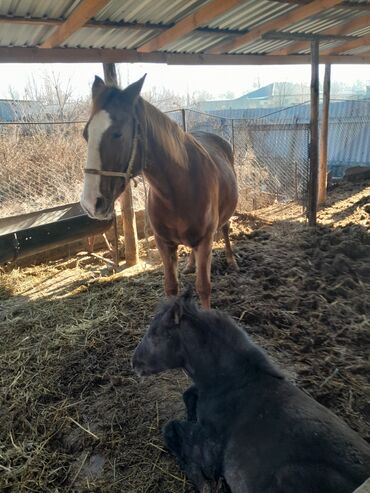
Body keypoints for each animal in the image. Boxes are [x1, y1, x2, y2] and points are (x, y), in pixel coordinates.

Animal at [79, 74, 238, 306]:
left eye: (117, 134)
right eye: (86, 134)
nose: (91, 203)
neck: (178, 190)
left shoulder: (205, 241)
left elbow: (203, 287)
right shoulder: (164, 243)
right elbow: (171, 286)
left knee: (226, 229)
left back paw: (231, 259)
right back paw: (190, 264)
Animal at [133, 292, 370, 492]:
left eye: (155, 334)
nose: (133, 362)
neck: (233, 383)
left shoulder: (209, 450)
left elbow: (171, 428)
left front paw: (202, 480)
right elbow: (188, 397)